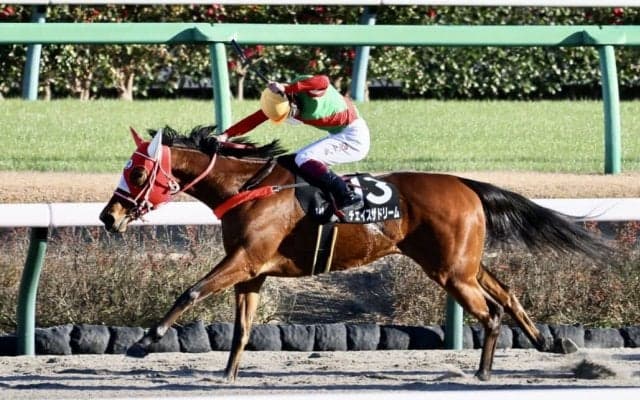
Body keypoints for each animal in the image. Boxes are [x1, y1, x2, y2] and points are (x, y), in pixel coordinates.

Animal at [99, 125, 613, 382]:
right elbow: (242, 327)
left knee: (489, 313)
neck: (248, 187)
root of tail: (464, 183)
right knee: (504, 292)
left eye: (137, 172)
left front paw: (143, 343)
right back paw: (546, 342)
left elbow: (190, 292)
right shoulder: (252, 271)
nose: (108, 216)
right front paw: (227, 375)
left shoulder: (244, 261)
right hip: (458, 263)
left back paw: (484, 374)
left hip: (451, 270)